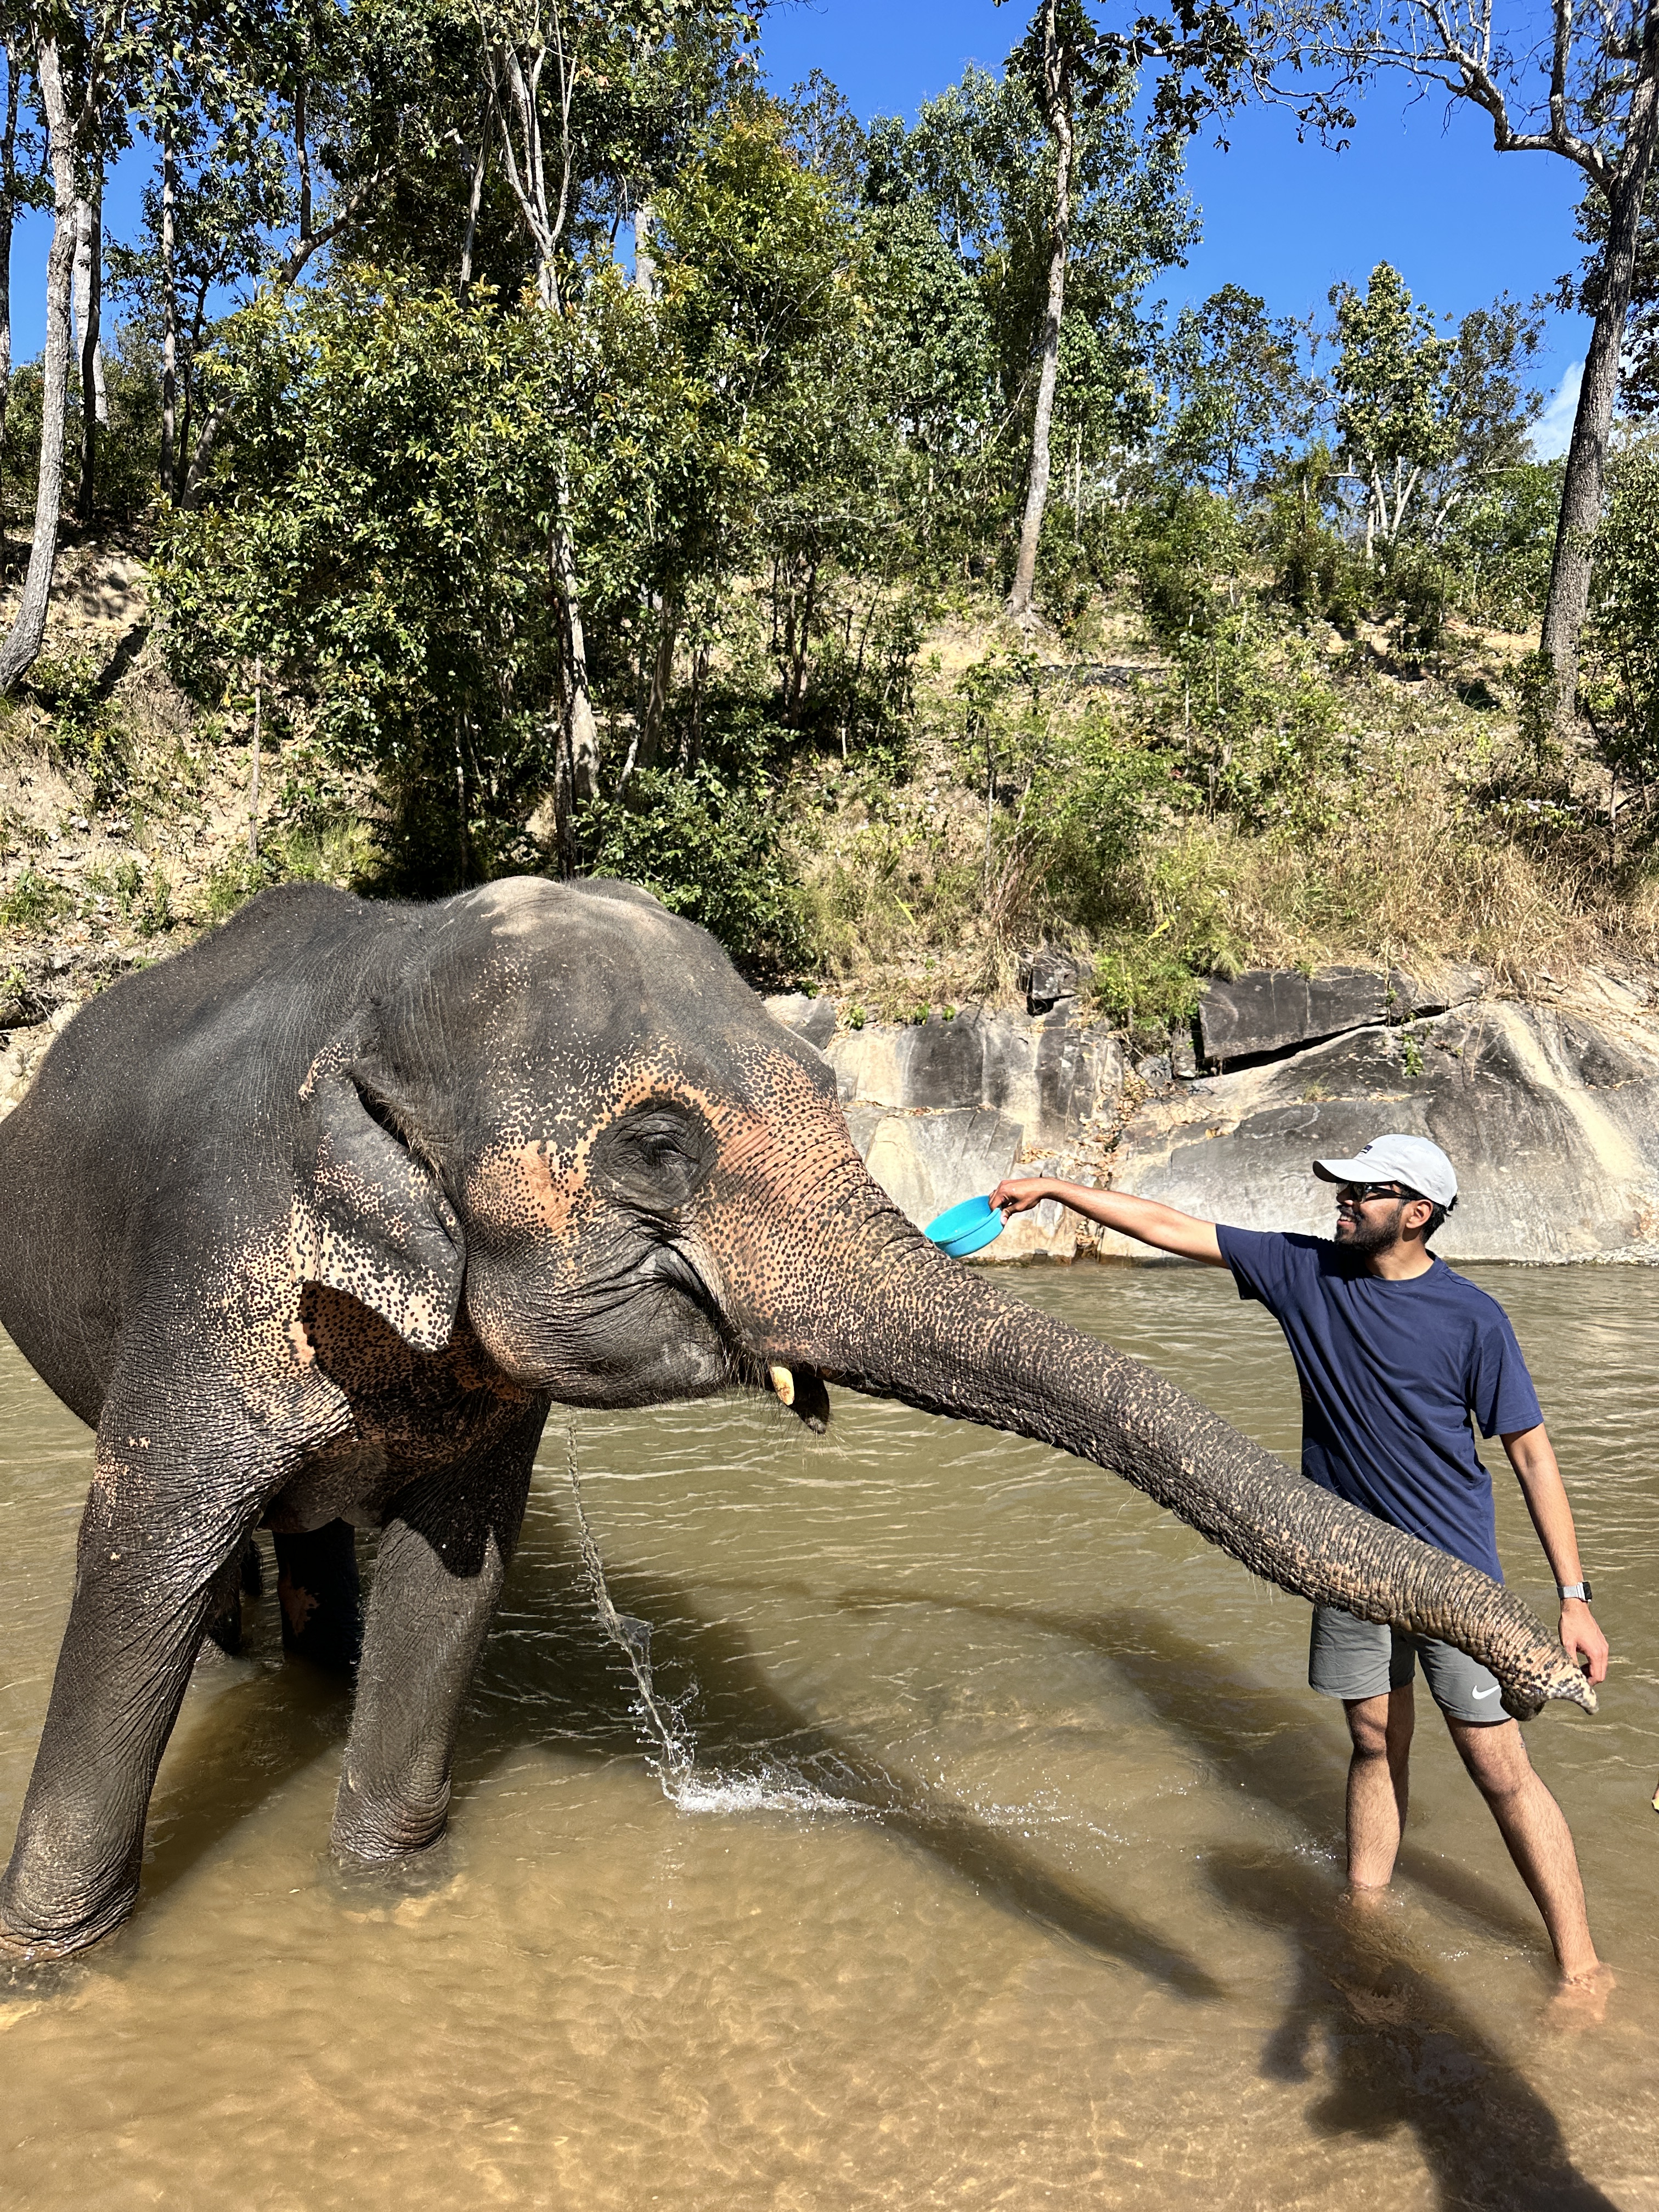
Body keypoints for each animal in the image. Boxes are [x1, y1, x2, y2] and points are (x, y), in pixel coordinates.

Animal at [0, 877, 1593, 1960]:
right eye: (657, 1145)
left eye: (833, 1089)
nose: (1563, 1682)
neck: (381, 980)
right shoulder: (210, 1270)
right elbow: (145, 1563)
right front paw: (54, 1962)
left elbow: (449, 1586)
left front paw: (388, 1886)